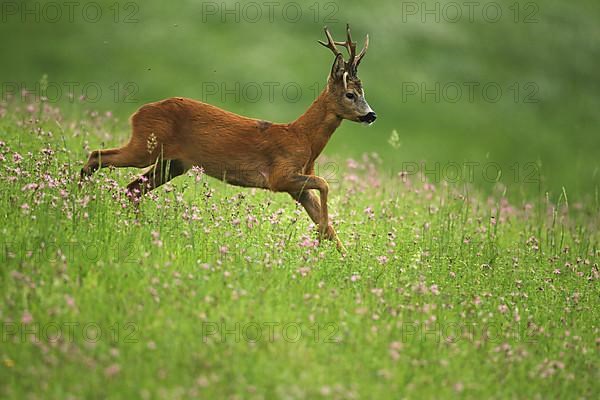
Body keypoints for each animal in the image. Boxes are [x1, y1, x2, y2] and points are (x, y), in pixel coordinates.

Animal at [81, 23, 376, 252]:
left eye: (363, 93)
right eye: (350, 94)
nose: (371, 115)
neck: (302, 138)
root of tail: (138, 112)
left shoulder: (297, 186)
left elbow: (329, 226)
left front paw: (347, 262)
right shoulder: (280, 176)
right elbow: (325, 185)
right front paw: (320, 241)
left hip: (172, 163)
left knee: (132, 188)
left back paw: (134, 224)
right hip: (146, 146)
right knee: (98, 156)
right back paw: (81, 199)